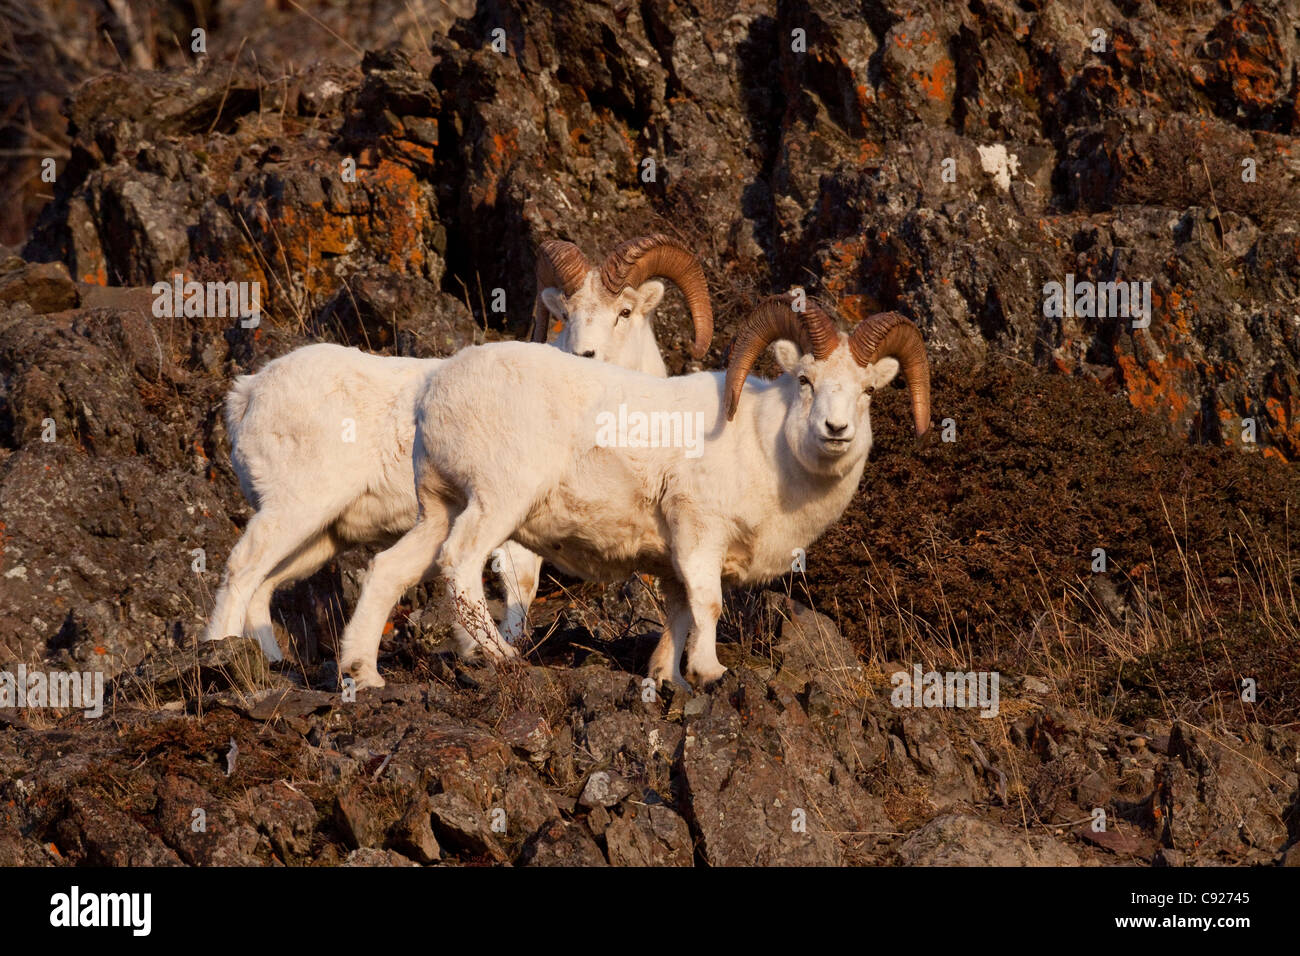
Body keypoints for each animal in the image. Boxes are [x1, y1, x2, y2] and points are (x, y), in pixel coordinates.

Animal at [203, 235, 713, 663]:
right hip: (296, 507)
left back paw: (275, 662)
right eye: (567, 312)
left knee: (263, 586)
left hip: (319, 537)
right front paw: (491, 650)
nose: (584, 355)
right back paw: (221, 655)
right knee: (243, 569)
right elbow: (518, 586)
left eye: (624, 312)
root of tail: (248, 393)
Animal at [335, 293, 931, 689]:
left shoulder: (672, 562)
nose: (836, 429)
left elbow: (680, 615)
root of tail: (435, 390)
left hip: (439, 508)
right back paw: (501, 658)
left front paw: (668, 679)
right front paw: (709, 672)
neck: (766, 449)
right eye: (805, 381)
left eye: (868, 390)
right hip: (495, 503)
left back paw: (361, 675)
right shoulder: (699, 534)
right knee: (459, 565)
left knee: (389, 570)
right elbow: (709, 605)